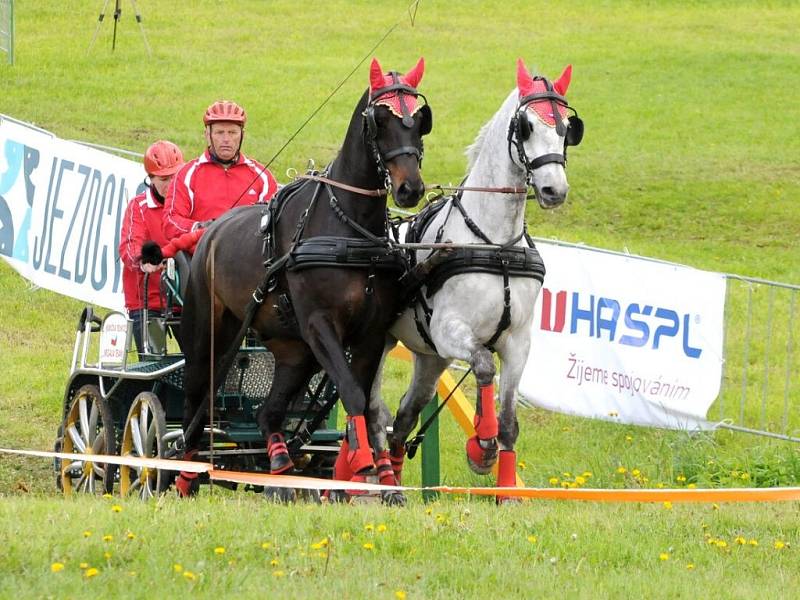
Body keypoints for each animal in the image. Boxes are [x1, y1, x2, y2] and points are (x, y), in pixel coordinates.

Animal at [177, 58, 432, 500]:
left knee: (268, 412)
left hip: (295, 351)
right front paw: (362, 464)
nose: (409, 188)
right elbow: (352, 391)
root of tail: (212, 230)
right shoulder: (320, 324)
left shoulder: (369, 333)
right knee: (195, 403)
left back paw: (280, 467)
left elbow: (366, 403)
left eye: (419, 120)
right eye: (380, 120)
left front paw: (384, 477)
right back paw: (179, 474)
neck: (347, 227)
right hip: (210, 335)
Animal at [360, 59, 584, 502]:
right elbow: (481, 365)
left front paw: (507, 492)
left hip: (430, 357)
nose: (554, 189)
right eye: (527, 126)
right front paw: (481, 446)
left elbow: (510, 422)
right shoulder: (451, 331)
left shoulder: (517, 343)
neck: (495, 243)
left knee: (404, 419)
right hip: (381, 345)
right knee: (372, 413)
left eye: (567, 127)